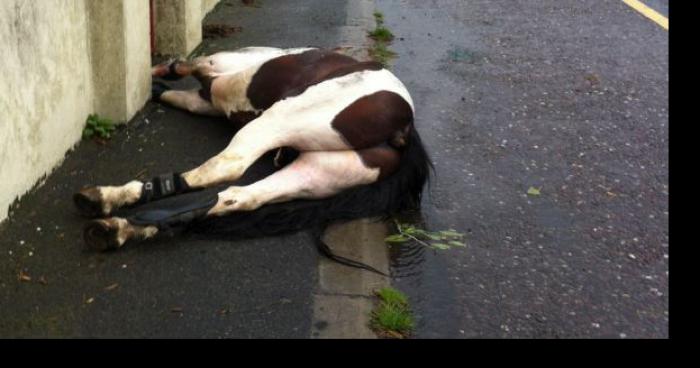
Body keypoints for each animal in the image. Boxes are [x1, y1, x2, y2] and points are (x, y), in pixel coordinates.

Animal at [74, 46, 430, 270]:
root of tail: (404, 126)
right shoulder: (207, 99)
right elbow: (179, 94)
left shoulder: (221, 75)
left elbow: (190, 68)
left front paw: (162, 71)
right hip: (316, 172)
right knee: (237, 196)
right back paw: (118, 224)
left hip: (282, 118)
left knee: (227, 166)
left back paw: (112, 206)